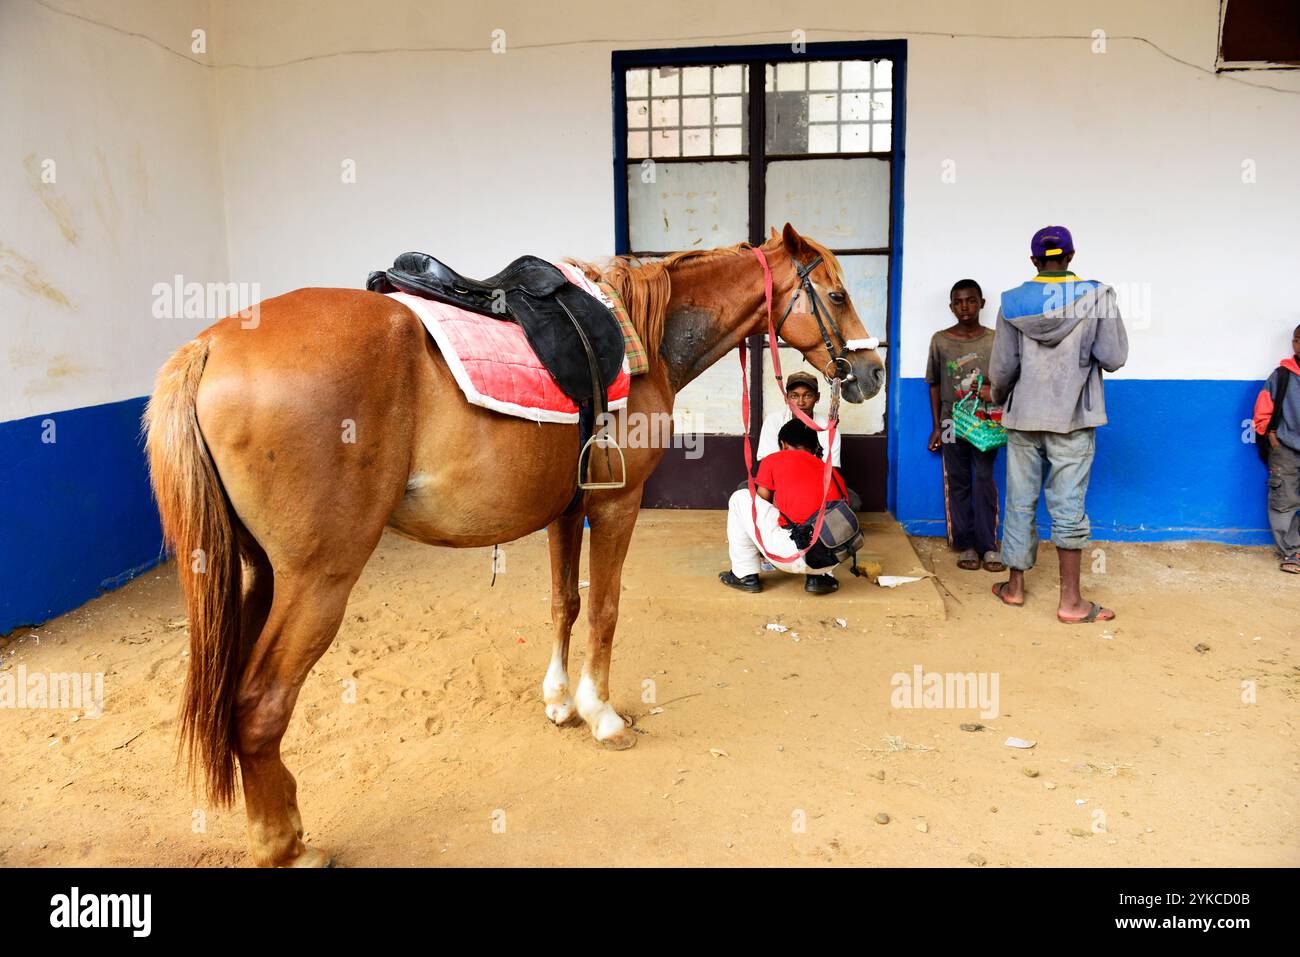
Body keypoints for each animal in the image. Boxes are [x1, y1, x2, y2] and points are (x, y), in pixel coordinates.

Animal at [144, 223, 885, 866]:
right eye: (838, 295)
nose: (872, 372)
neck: (643, 336)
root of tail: (209, 346)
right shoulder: (615, 507)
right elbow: (606, 610)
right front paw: (601, 713)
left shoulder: (566, 510)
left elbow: (565, 604)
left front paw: (559, 700)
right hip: (317, 578)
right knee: (259, 706)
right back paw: (286, 847)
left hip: (260, 574)